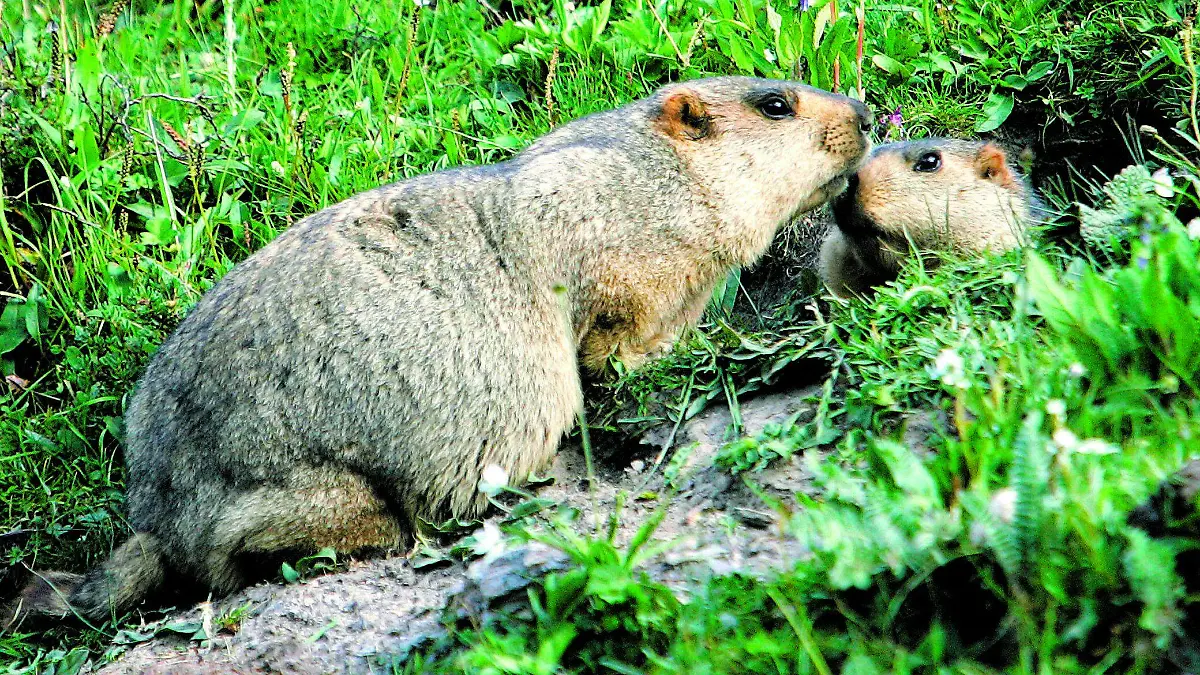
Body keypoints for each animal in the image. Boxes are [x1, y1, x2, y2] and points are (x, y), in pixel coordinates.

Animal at [6, 76, 871, 625]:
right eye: (776, 104)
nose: (866, 112)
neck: (657, 169)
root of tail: (154, 516)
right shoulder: (621, 248)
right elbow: (613, 337)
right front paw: (695, 343)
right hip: (300, 486)